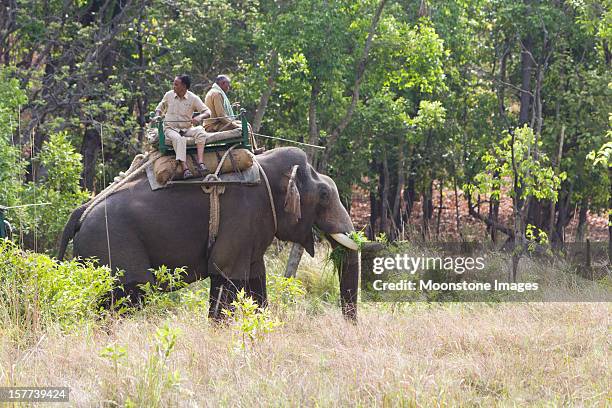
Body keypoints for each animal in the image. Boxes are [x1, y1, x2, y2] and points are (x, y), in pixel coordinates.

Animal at [58, 147, 358, 318]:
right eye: (323, 195)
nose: (349, 322)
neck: (263, 166)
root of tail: (80, 214)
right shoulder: (243, 214)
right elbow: (226, 274)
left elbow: (255, 281)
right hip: (112, 247)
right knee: (126, 298)